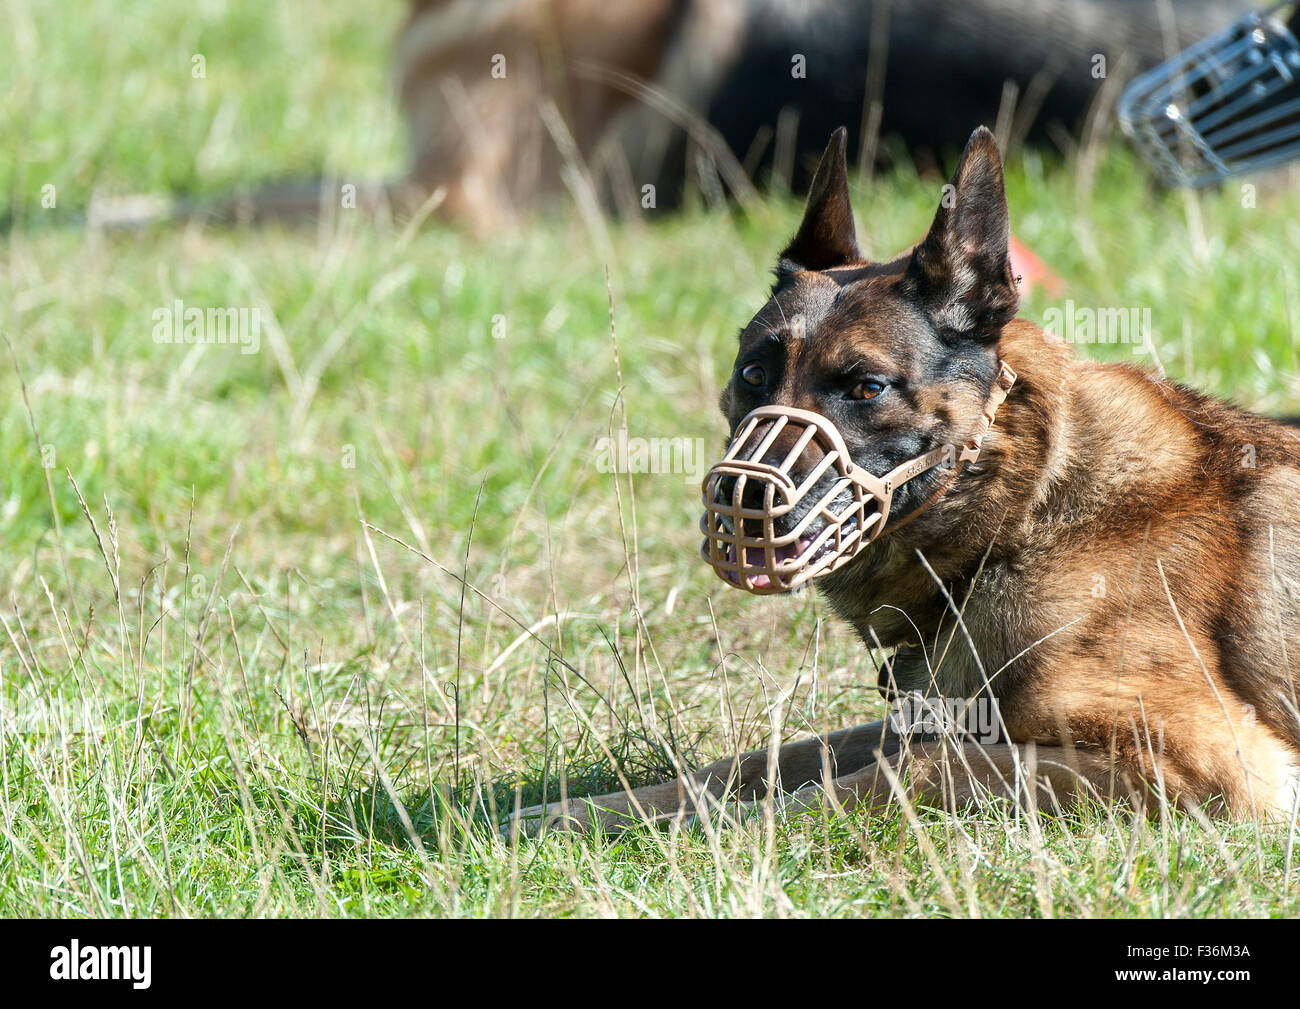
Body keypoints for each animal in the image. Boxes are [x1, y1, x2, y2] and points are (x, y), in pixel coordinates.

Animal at [512, 126, 1300, 837]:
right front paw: (577, 813)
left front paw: (717, 828)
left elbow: (888, 774)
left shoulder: (1208, 764)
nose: (739, 496)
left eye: (866, 387)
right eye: (753, 374)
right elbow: (753, 762)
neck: (1026, 514)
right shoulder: (928, 713)